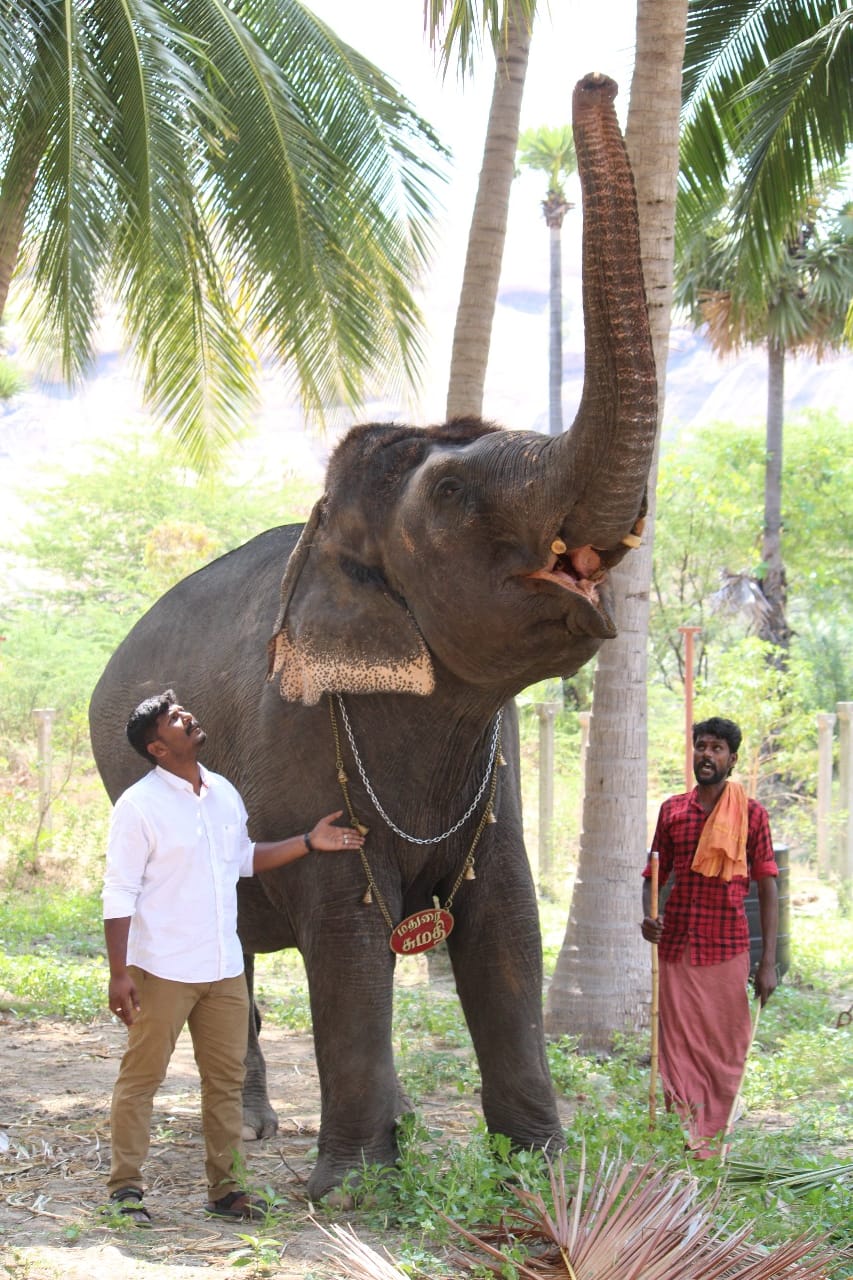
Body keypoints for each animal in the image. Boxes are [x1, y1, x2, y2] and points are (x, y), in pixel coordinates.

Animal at [89, 77, 653, 1198]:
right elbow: (347, 929)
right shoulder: (305, 742)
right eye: (451, 495)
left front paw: (542, 1169)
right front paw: (355, 1188)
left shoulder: (495, 770)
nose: (595, 82)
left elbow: (506, 924)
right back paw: (260, 1127)